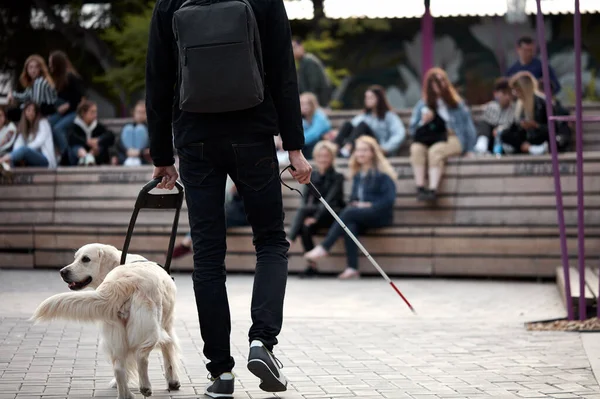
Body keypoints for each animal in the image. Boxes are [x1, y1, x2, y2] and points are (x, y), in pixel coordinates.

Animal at [31, 244, 180, 399]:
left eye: (85, 259)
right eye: (76, 258)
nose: (62, 272)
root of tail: (122, 282)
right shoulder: (168, 325)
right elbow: (169, 353)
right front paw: (173, 382)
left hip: (116, 331)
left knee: (119, 368)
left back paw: (125, 395)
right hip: (151, 327)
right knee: (141, 356)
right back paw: (145, 387)